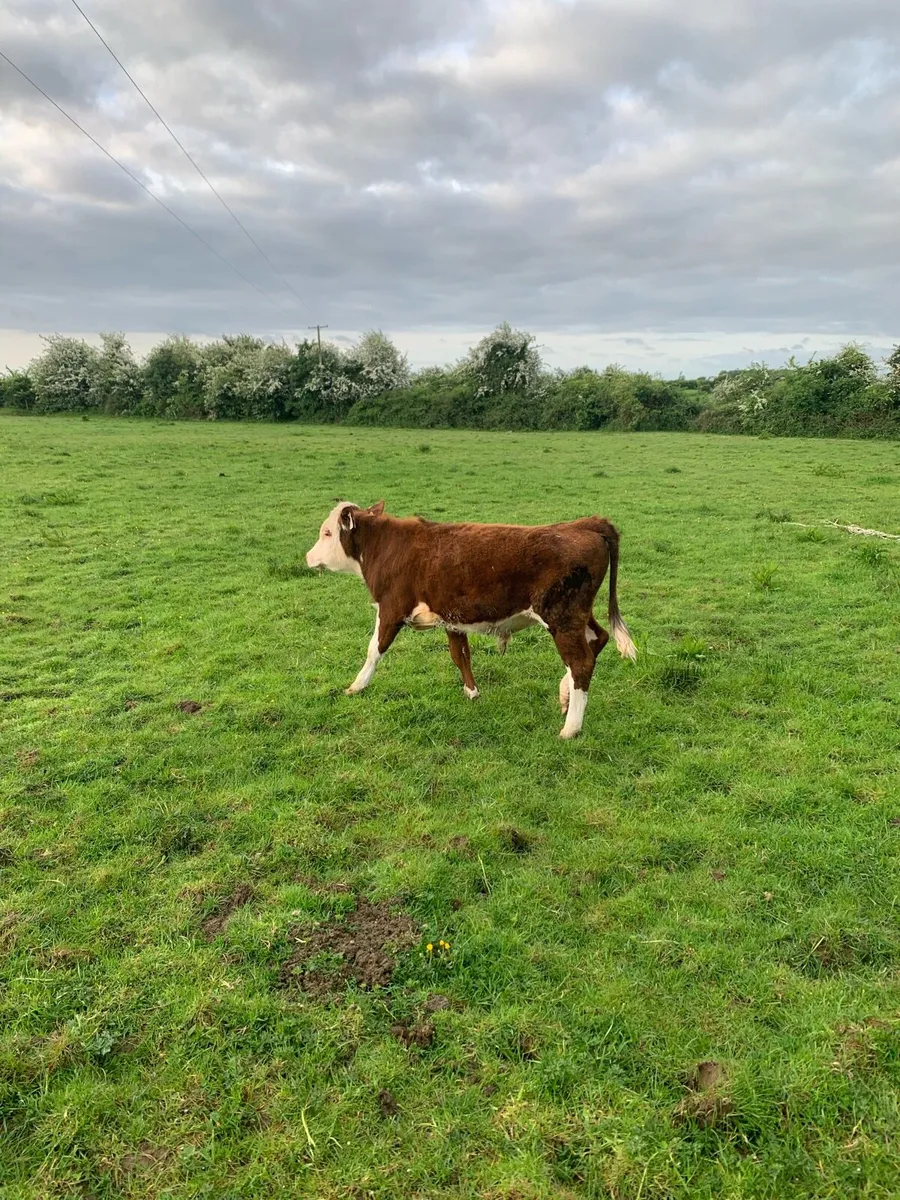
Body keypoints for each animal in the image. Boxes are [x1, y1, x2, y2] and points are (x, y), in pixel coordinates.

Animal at [305, 501, 637, 739]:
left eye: (327, 533)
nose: (308, 557)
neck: (387, 547)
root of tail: (584, 523)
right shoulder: (451, 618)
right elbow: (460, 654)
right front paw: (472, 692)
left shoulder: (390, 609)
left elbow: (375, 650)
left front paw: (356, 686)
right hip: (578, 616)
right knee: (597, 640)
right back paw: (565, 695)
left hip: (562, 618)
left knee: (580, 661)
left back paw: (570, 728)